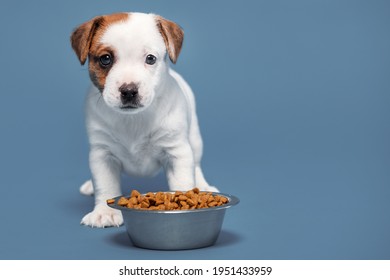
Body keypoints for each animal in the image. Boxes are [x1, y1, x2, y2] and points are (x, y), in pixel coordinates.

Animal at [71, 12, 218, 228]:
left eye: (150, 59)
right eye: (105, 59)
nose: (129, 90)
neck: (133, 119)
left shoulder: (177, 152)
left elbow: (183, 182)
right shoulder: (101, 154)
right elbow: (105, 185)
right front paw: (105, 211)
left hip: (195, 139)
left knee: (196, 164)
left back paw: (203, 184)